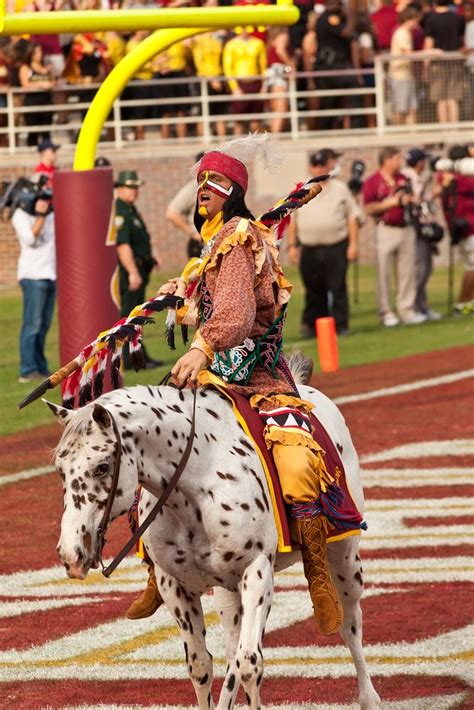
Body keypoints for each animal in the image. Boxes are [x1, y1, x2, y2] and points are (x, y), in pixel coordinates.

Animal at [48, 372, 382, 710]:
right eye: (60, 470)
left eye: (102, 466)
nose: (71, 554)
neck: (199, 480)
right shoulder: (174, 586)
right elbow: (201, 665)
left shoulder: (257, 571)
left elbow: (249, 664)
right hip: (227, 592)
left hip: (343, 556)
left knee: (350, 623)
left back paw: (368, 696)